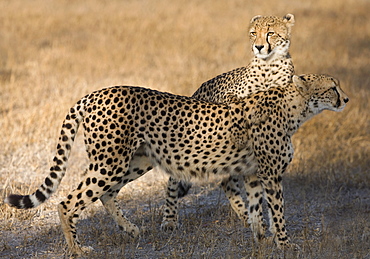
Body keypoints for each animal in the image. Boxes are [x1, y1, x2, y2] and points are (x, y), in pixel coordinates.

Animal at [4, 73, 348, 256]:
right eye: (331, 87)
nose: (345, 99)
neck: (294, 108)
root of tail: (95, 93)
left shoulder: (252, 174)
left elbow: (253, 209)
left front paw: (260, 240)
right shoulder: (271, 175)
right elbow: (277, 212)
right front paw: (285, 244)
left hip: (134, 160)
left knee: (106, 194)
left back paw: (130, 229)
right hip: (110, 162)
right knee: (67, 202)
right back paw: (77, 250)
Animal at [163, 13, 296, 234]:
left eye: (270, 33)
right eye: (253, 33)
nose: (259, 47)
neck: (268, 65)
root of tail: (197, 90)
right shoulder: (230, 96)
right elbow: (236, 104)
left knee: (227, 184)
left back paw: (249, 218)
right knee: (174, 180)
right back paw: (169, 220)